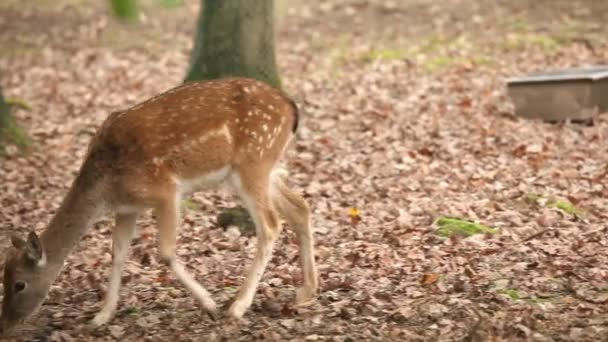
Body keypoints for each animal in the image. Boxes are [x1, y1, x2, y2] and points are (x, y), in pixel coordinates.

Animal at [0, 77, 320, 332]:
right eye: (3, 277)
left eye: (19, 284)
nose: (7, 324)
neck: (106, 188)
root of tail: (291, 106)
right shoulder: (127, 208)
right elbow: (117, 254)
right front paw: (101, 316)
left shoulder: (165, 191)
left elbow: (165, 251)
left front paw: (209, 304)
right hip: (265, 168)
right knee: (300, 207)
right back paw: (306, 292)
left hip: (253, 162)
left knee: (271, 224)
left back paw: (238, 306)